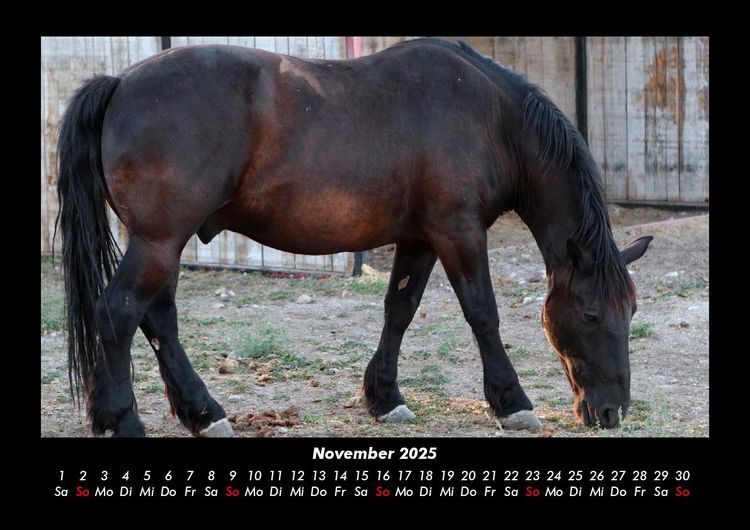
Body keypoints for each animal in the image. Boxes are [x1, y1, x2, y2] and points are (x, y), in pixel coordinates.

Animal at [55, 38, 653, 437]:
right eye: (591, 315)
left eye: (631, 312)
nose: (612, 411)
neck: (491, 119)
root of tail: (118, 83)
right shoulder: (457, 231)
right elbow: (483, 312)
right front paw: (511, 402)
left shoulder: (420, 238)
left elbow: (399, 309)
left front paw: (385, 397)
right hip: (158, 241)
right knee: (118, 313)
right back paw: (123, 420)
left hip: (161, 243)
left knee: (157, 320)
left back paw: (202, 413)